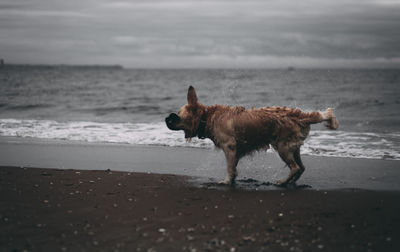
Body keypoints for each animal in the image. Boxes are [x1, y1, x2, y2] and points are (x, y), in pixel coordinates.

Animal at [165, 85, 338, 186]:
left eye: (177, 116)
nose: (166, 118)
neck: (207, 117)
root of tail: (299, 116)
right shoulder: (235, 151)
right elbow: (233, 167)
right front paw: (233, 179)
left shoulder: (229, 147)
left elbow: (229, 167)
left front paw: (227, 181)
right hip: (294, 148)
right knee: (301, 167)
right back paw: (291, 182)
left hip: (282, 147)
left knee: (295, 167)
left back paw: (282, 182)